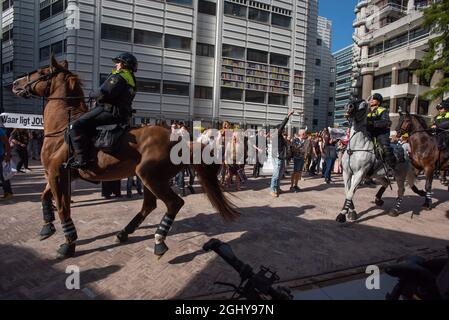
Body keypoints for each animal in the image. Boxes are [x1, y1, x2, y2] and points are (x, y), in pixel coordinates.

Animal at [11, 56, 238, 258]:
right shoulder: (57, 174)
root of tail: (180, 141)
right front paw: (47, 227)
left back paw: (159, 241)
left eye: (42, 72)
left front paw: (68, 243)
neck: (61, 128)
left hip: (150, 177)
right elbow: (45, 197)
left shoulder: (57, 174)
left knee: (173, 204)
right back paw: (124, 233)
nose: (14, 84)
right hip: (149, 178)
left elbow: (63, 208)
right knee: (149, 205)